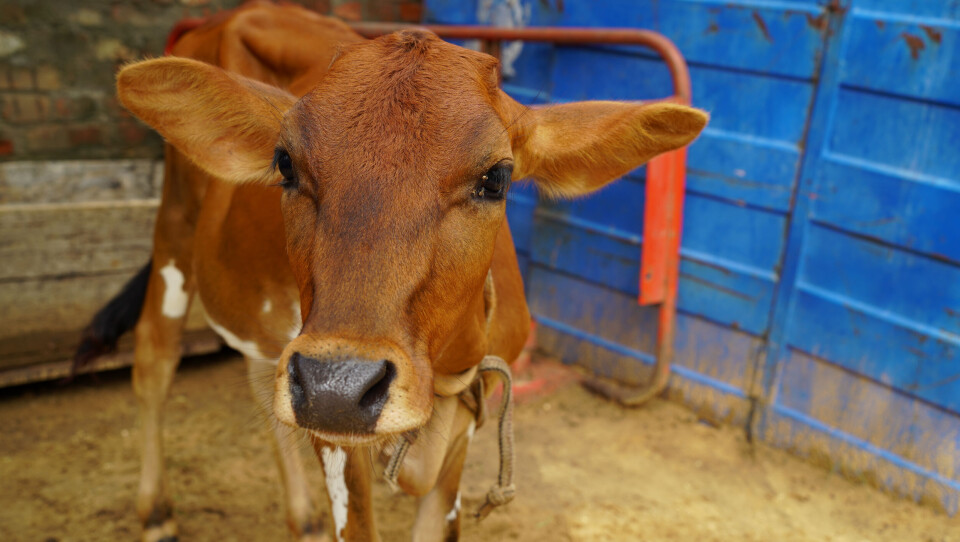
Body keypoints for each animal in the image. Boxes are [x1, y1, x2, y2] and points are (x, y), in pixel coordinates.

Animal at [75, 2, 704, 540]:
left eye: (496, 178)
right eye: (285, 164)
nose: (335, 386)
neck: (440, 374)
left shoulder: (464, 429)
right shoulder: (338, 440)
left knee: (256, 376)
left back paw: (302, 521)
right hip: (176, 231)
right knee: (155, 359)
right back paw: (157, 512)